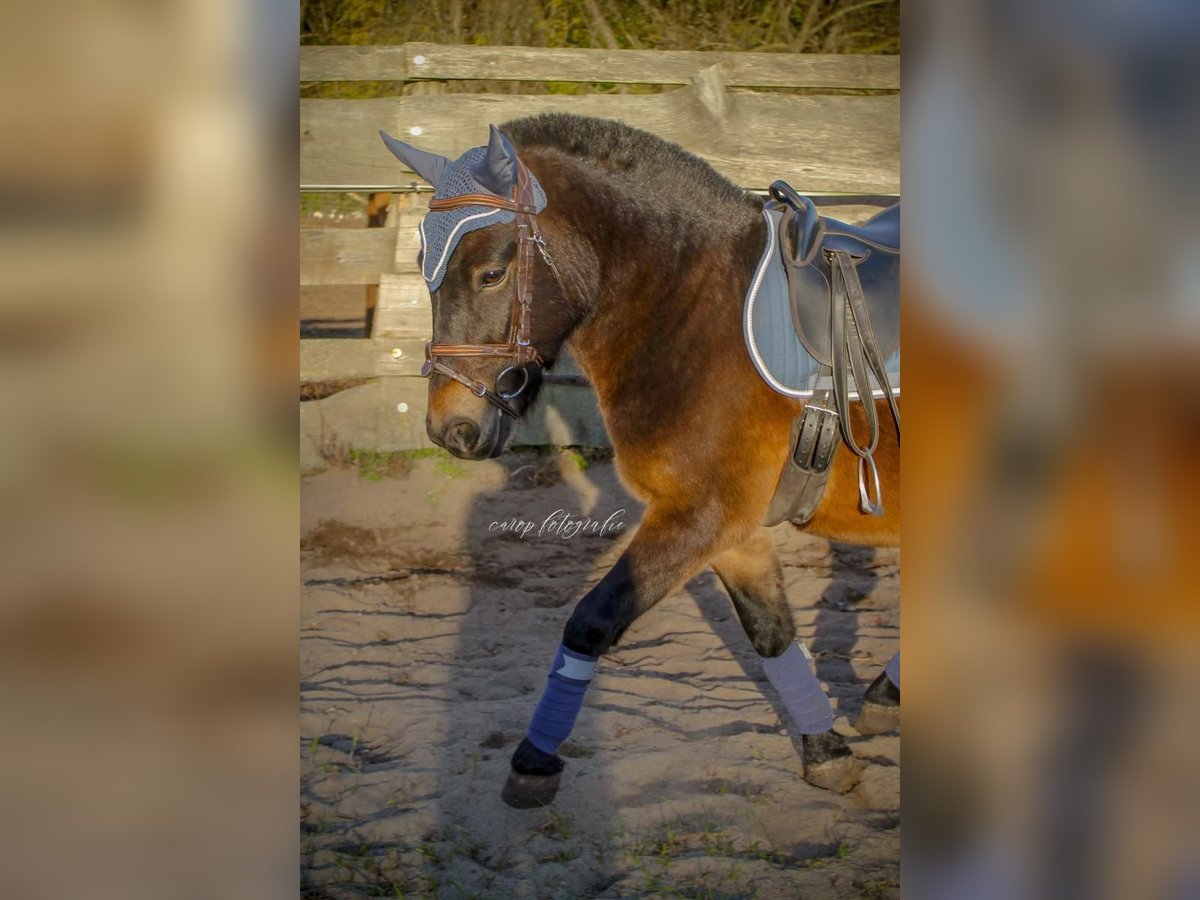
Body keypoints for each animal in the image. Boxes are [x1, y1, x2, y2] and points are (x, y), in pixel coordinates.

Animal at [379, 112, 897, 811]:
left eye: (490, 273)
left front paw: (534, 759)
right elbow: (771, 631)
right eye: (421, 266)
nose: (449, 429)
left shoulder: (699, 518)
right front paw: (826, 752)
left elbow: (591, 623)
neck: (698, 312)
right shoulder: (732, 530)